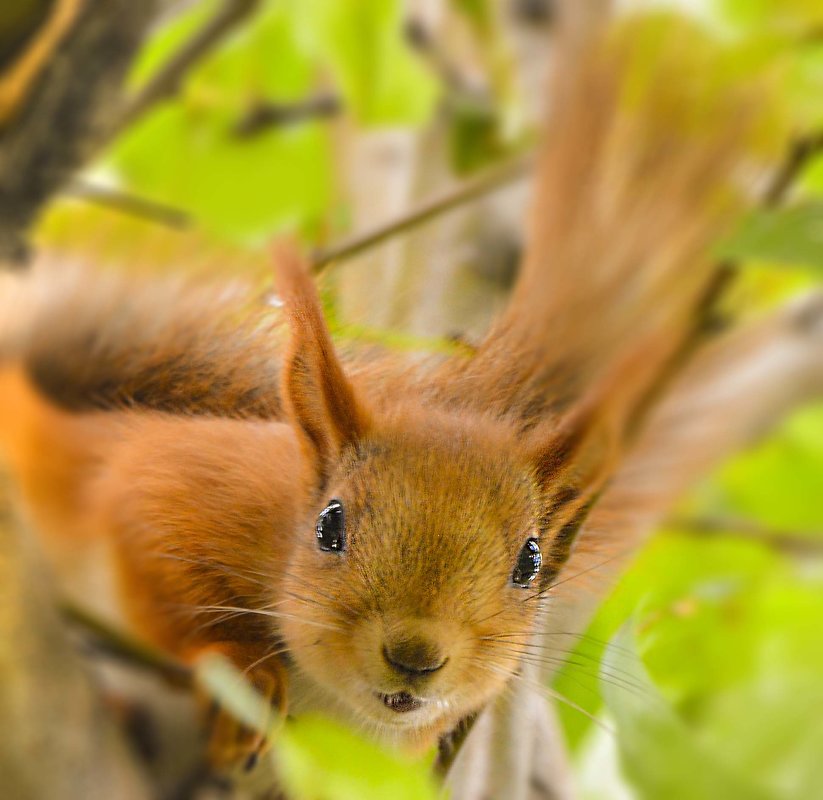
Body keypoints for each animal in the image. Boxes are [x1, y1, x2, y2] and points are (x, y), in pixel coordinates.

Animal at [0, 29, 752, 768]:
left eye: (530, 563)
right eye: (329, 525)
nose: (415, 657)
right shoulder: (173, 486)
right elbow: (157, 565)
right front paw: (245, 675)